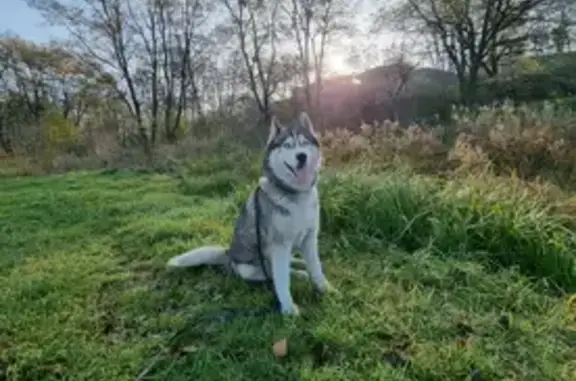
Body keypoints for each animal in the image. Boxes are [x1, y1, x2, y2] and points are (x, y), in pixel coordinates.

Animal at [166, 111, 332, 314]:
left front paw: (324, 288)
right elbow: (282, 280)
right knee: (275, 274)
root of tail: (228, 254)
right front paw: (288, 307)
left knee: (288, 265)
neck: (296, 195)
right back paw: (300, 273)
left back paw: (299, 265)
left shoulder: (309, 238)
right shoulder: (280, 246)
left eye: (304, 143)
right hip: (252, 268)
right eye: (287, 146)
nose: (301, 156)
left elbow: (316, 267)